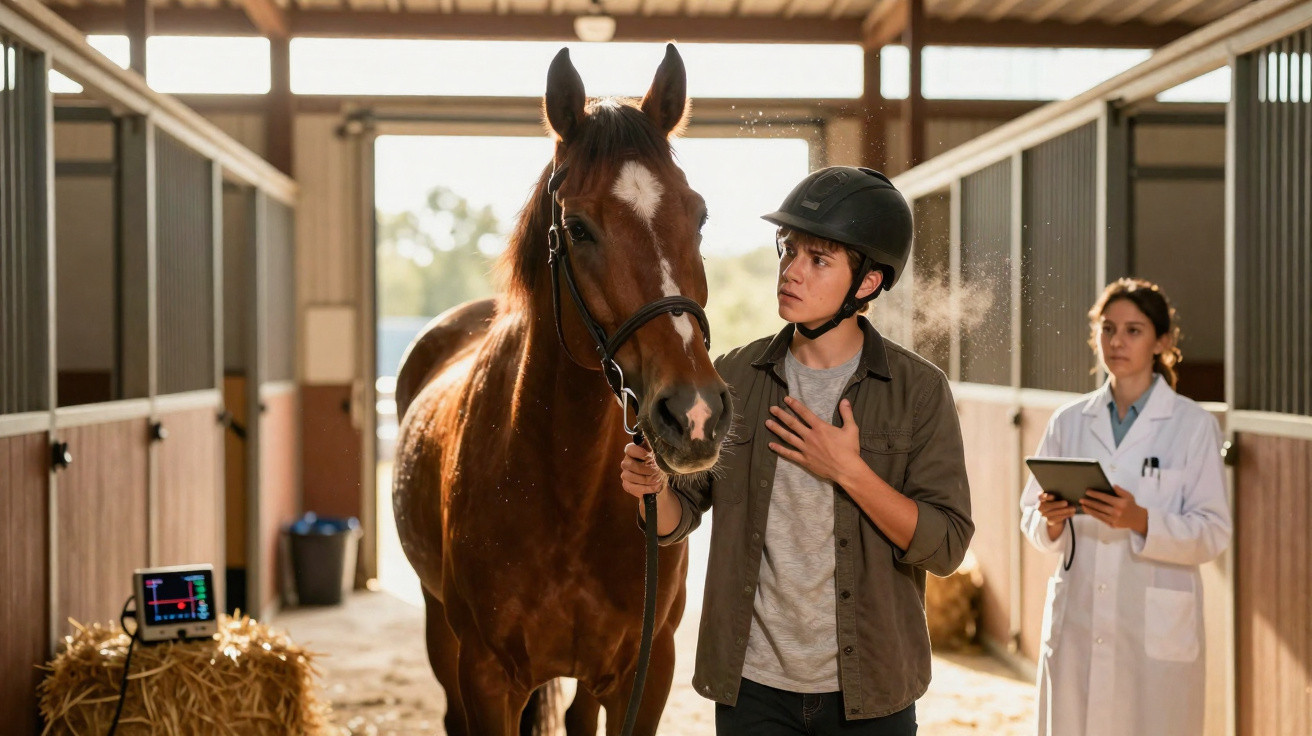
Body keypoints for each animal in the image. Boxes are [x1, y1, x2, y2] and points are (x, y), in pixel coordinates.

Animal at [392, 44, 731, 735]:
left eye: (699, 215)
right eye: (576, 227)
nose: (695, 413)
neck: (564, 486)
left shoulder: (646, 672)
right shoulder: (486, 676)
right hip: (440, 630)